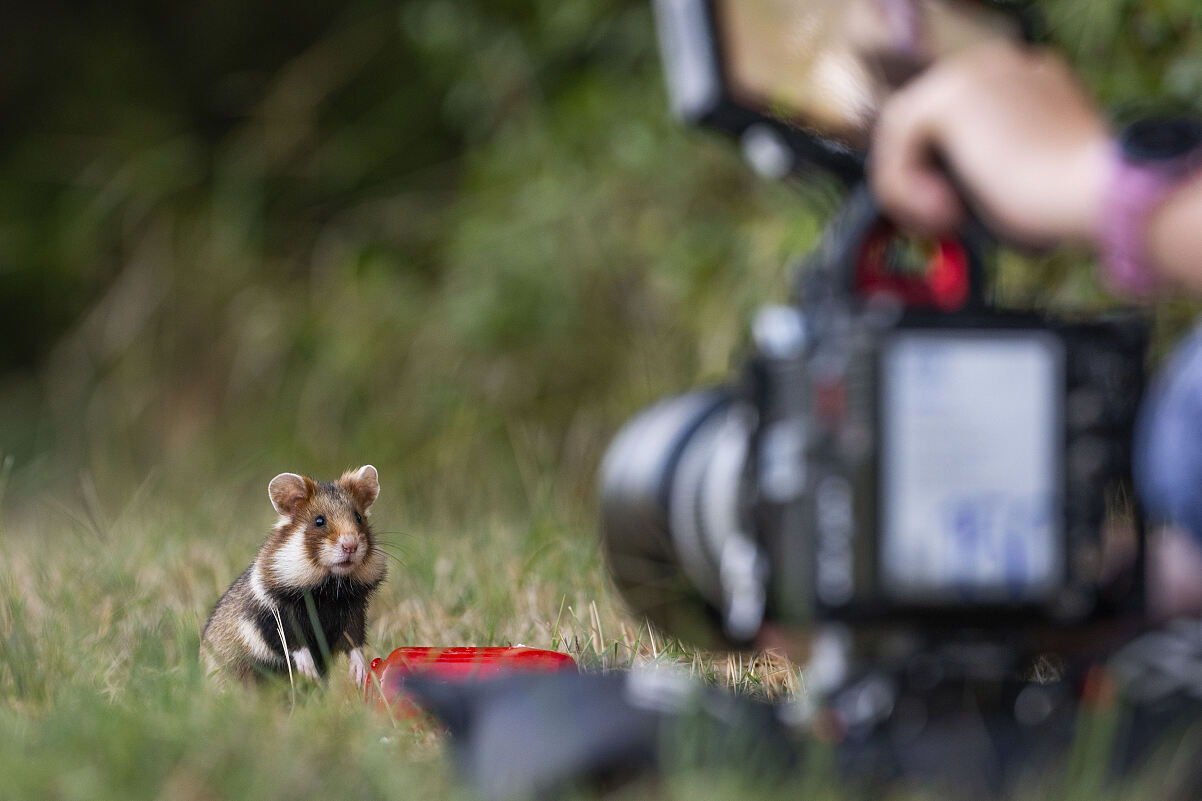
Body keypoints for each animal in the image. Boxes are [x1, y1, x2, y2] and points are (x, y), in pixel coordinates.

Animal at [198, 464, 384, 683]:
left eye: (358, 517)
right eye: (319, 521)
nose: (351, 546)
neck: (328, 589)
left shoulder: (354, 612)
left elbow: (354, 643)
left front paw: (360, 675)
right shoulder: (274, 617)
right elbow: (294, 643)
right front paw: (309, 672)